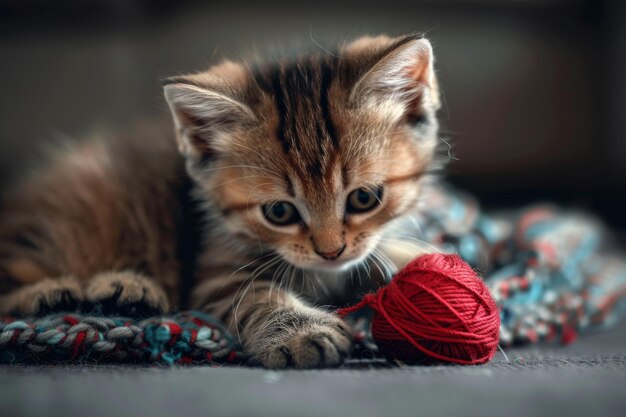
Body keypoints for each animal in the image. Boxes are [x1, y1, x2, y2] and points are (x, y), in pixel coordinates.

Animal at [0, 35, 438, 368]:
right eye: (279, 211)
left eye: (364, 198)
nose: (331, 252)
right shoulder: (216, 271)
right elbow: (257, 297)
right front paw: (302, 332)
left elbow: (386, 254)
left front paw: (425, 263)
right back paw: (68, 292)